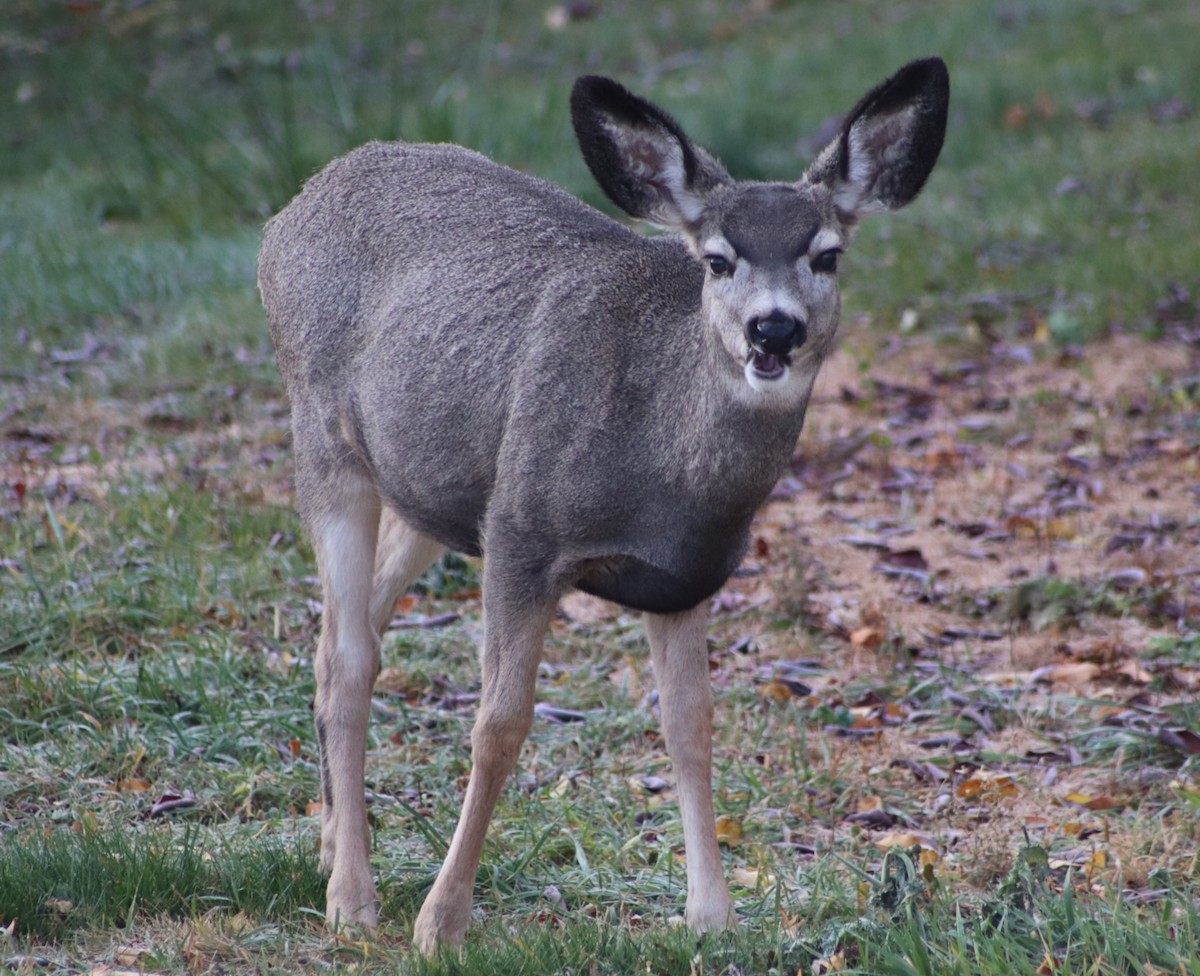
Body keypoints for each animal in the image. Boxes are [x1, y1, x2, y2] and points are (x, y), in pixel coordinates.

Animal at [257, 58, 949, 953]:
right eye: (718, 260)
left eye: (826, 255)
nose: (774, 330)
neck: (661, 458)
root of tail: (291, 210)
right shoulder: (522, 528)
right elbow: (499, 726)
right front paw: (442, 921)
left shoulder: (685, 575)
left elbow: (691, 728)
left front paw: (711, 914)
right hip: (324, 439)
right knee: (349, 657)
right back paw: (353, 897)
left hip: (431, 494)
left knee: (344, 635)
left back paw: (327, 843)